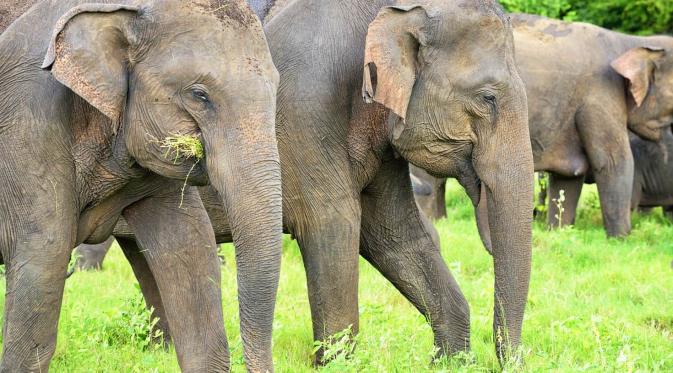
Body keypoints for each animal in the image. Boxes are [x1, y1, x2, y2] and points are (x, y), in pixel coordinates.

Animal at [412, 13, 672, 238]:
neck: (632, 42)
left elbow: (569, 176)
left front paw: (559, 232)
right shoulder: (600, 95)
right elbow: (613, 161)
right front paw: (621, 239)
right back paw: (435, 221)